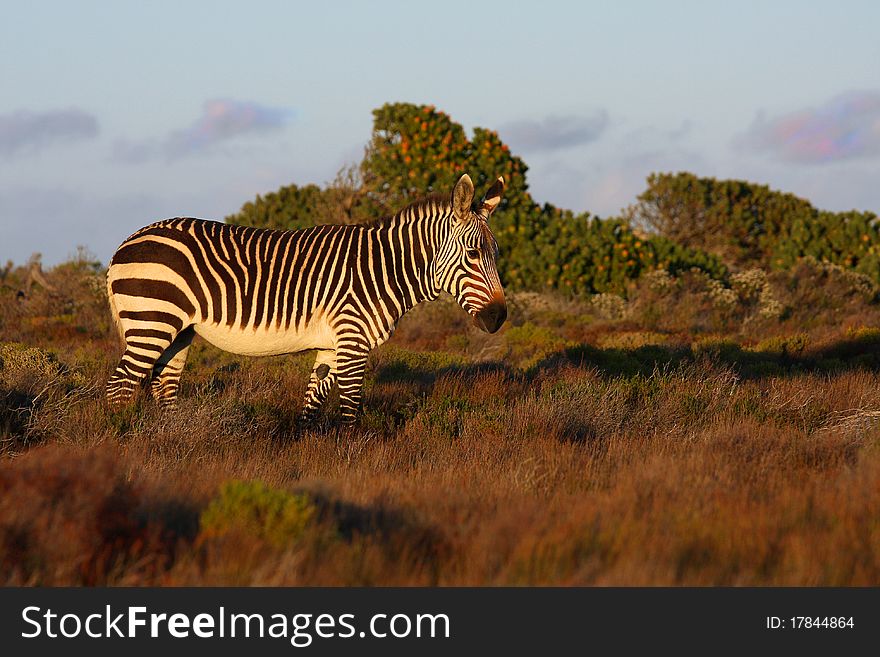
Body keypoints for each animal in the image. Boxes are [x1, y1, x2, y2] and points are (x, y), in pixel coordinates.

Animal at [108, 173, 508, 420]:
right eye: (473, 254)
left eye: (496, 253)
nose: (499, 318)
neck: (383, 268)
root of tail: (124, 244)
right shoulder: (352, 339)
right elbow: (349, 409)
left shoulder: (331, 345)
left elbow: (311, 408)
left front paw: (309, 453)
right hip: (151, 322)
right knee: (120, 388)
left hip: (179, 331)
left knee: (164, 387)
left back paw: (173, 439)